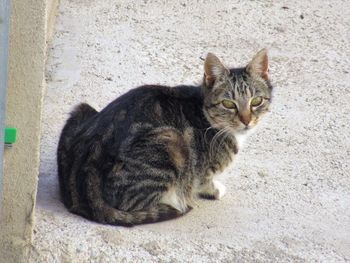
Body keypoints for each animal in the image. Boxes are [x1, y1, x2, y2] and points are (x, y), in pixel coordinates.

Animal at [56, 49, 274, 227]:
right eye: (228, 104)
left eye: (256, 101)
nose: (247, 120)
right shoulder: (200, 167)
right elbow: (204, 179)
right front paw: (214, 189)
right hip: (172, 141)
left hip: (82, 109)